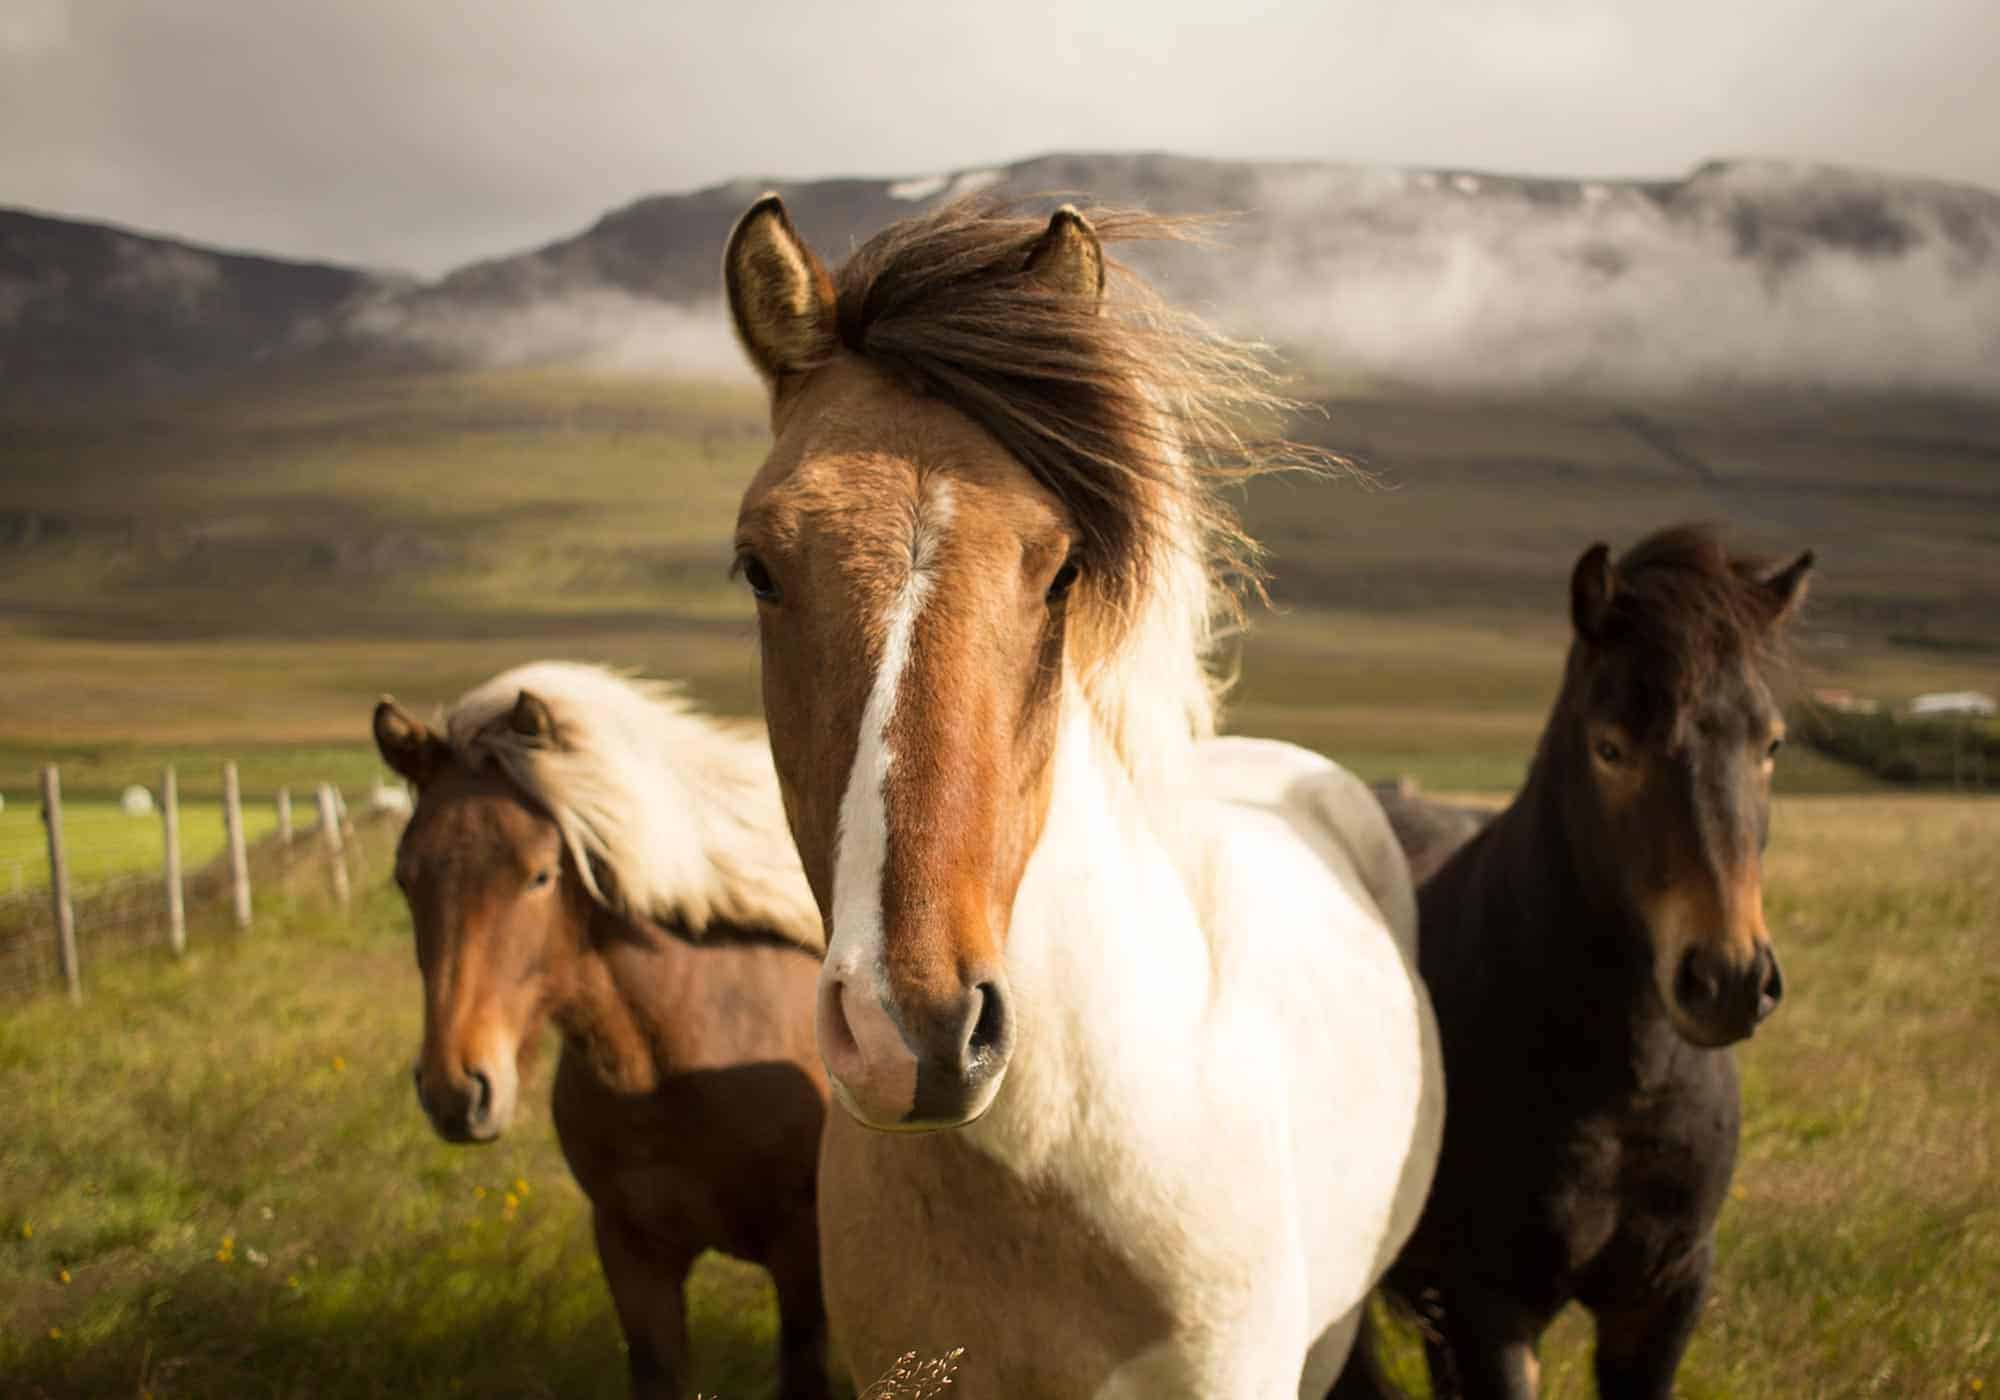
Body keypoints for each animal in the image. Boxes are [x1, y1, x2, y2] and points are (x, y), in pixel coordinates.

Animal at [1339, 526, 1812, 1400]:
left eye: (1771, 743)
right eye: (1611, 747)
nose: (1726, 980)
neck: (1621, 1089)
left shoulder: (1662, 1298)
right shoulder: (1490, 1308)